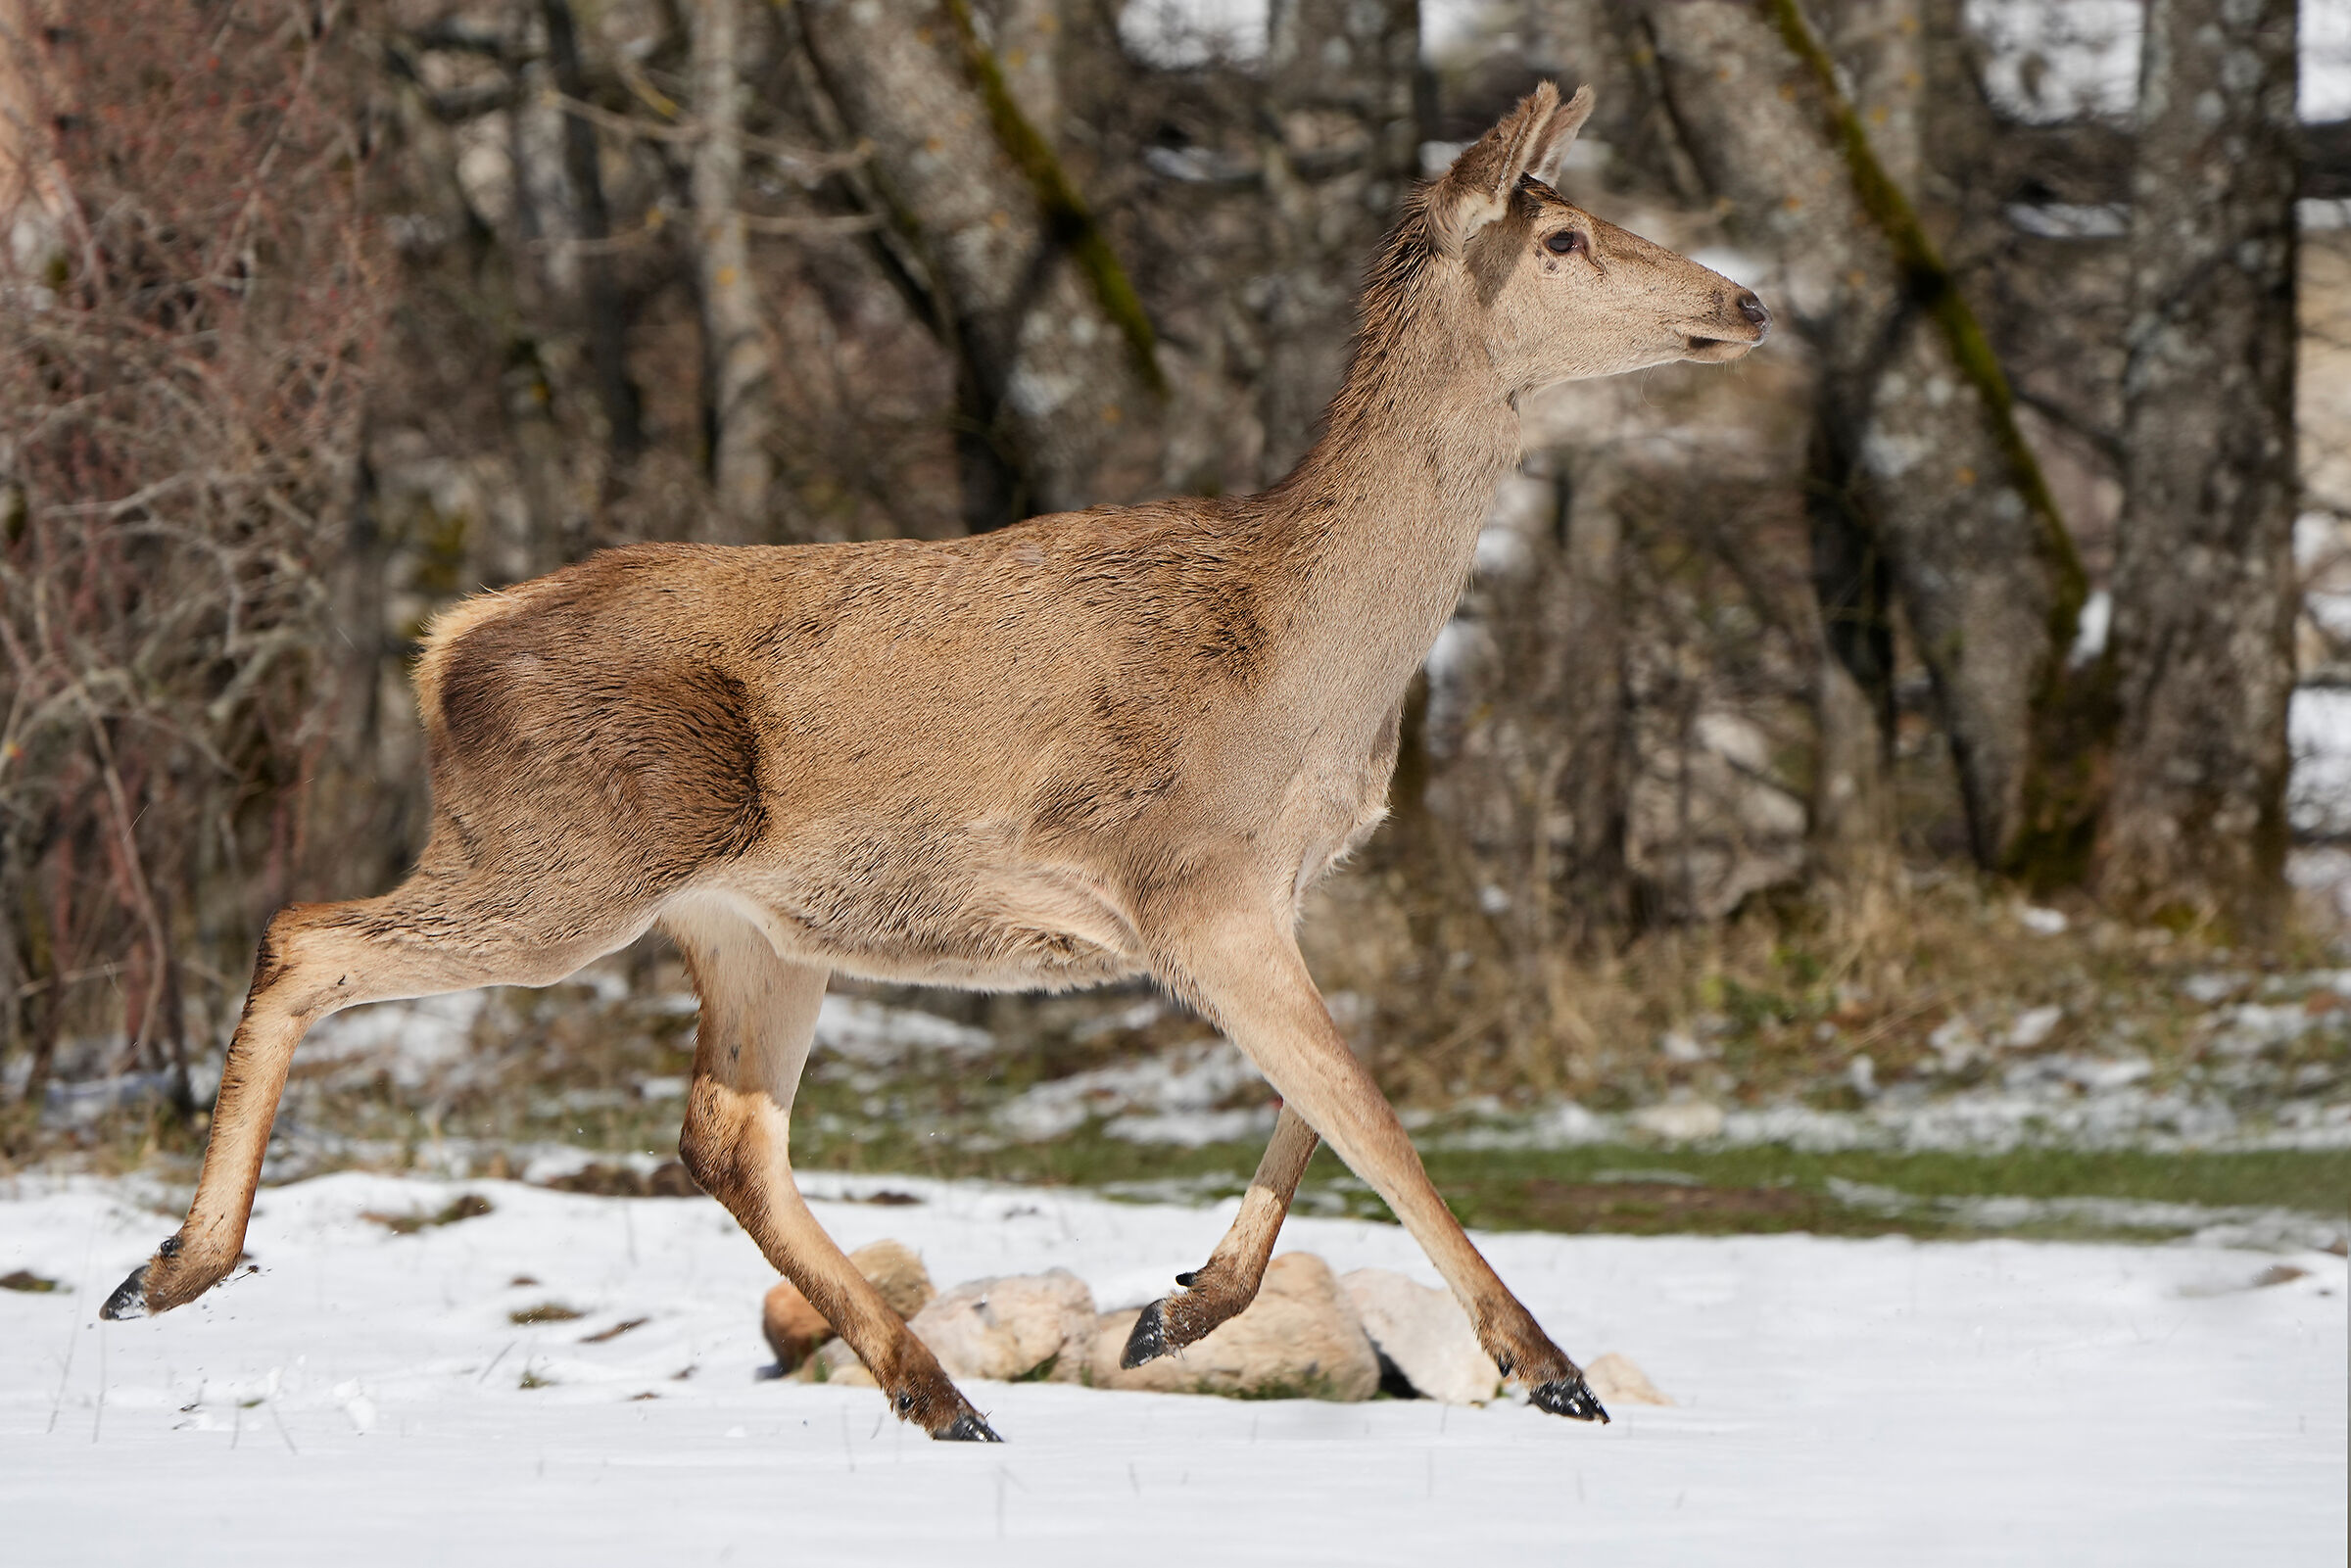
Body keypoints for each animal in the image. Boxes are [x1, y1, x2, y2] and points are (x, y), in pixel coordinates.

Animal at [99, 83, 1767, 1441]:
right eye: (1564, 237)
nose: (1746, 299)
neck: (1307, 669)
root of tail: (446, 647)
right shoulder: (1183, 872)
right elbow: (1376, 1116)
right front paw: (1547, 1366)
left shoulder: (1267, 891)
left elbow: (1331, 1096)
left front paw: (1181, 1309)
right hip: (563, 854)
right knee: (306, 934)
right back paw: (170, 1269)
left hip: (748, 924)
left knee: (721, 1133)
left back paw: (935, 1387)